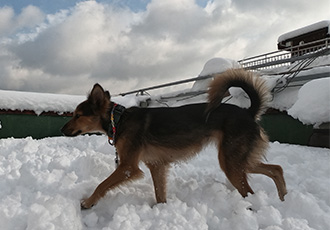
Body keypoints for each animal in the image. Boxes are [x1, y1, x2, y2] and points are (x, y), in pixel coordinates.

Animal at [61, 68, 286, 208]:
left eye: (77, 115)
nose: (62, 130)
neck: (118, 119)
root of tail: (248, 112)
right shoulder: (156, 165)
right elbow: (160, 193)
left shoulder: (127, 167)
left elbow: (102, 184)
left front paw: (88, 202)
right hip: (240, 161)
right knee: (276, 169)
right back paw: (283, 197)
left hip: (231, 162)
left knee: (251, 191)